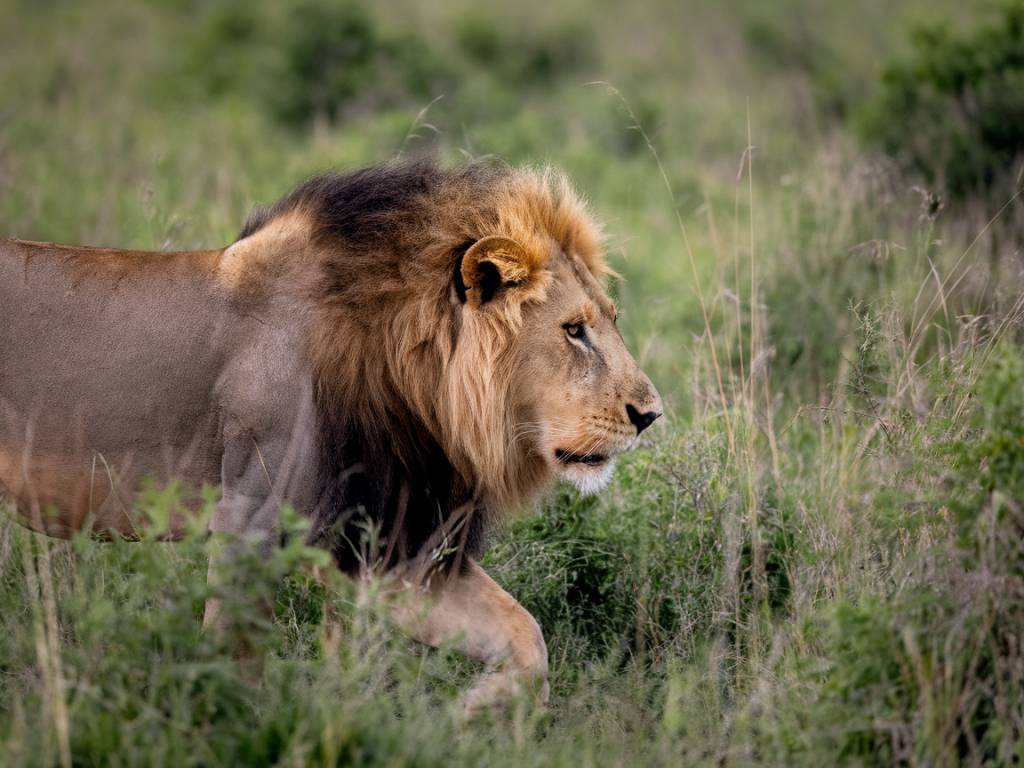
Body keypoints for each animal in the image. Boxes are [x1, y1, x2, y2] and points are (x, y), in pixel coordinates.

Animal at [0, 159, 663, 720]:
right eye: (574, 330)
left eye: (610, 319)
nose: (651, 414)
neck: (404, 371)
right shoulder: (250, 518)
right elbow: (235, 661)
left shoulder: (382, 536)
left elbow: (526, 638)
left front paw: (462, 716)